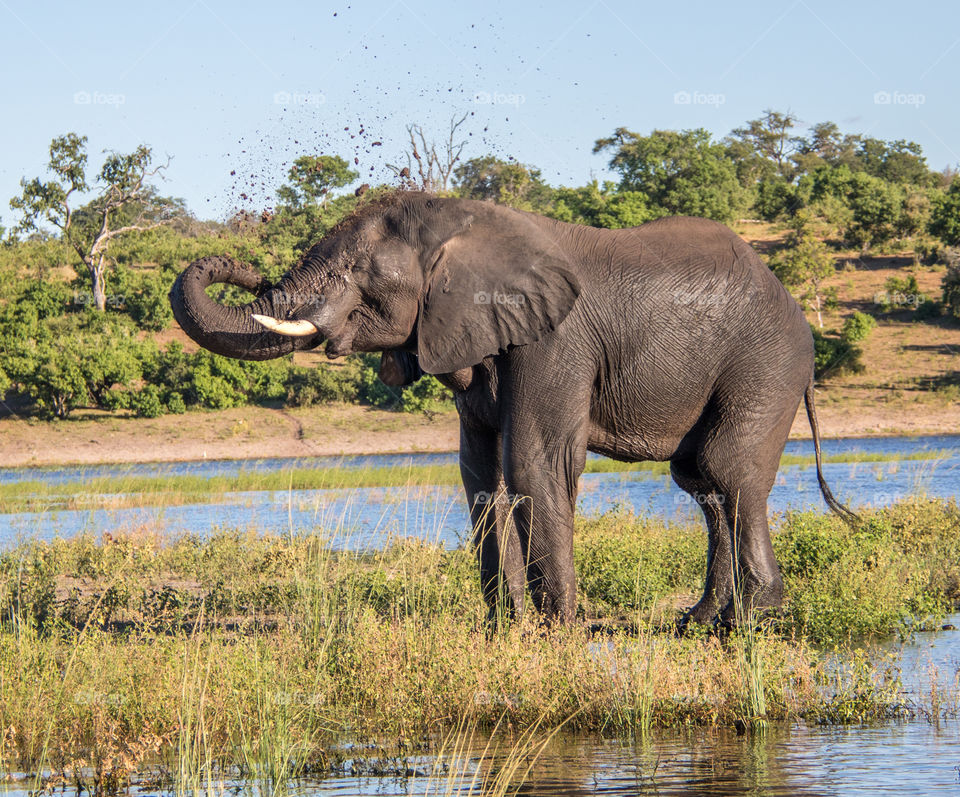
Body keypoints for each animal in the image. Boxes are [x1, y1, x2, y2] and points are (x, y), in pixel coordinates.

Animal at [171, 194, 856, 628]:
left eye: (353, 270)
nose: (242, 263)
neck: (464, 222)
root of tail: (793, 307)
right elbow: (480, 473)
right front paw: (507, 626)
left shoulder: (555, 337)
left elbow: (532, 460)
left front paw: (557, 629)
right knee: (701, 483)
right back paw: (702, 621)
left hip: (765, 363)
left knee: (725, 469)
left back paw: (755, 619)